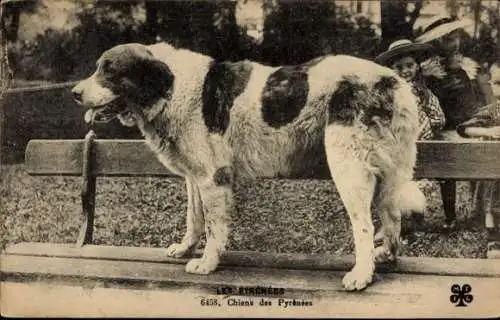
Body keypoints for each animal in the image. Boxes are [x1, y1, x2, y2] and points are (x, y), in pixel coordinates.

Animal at [71, 42, 426, 290]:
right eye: (98, 68)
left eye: (110, 71)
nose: (74, 93)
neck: (170, 88)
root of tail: (391, 80)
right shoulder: (196, 177)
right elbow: (194, 219)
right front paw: (185, 249)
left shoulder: (212, 179)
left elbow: (213, 227)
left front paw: (207, 263)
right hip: (387, 173)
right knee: (392, 217)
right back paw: (385, 255)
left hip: (348, 166)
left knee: (363, 225)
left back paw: (362, 274)